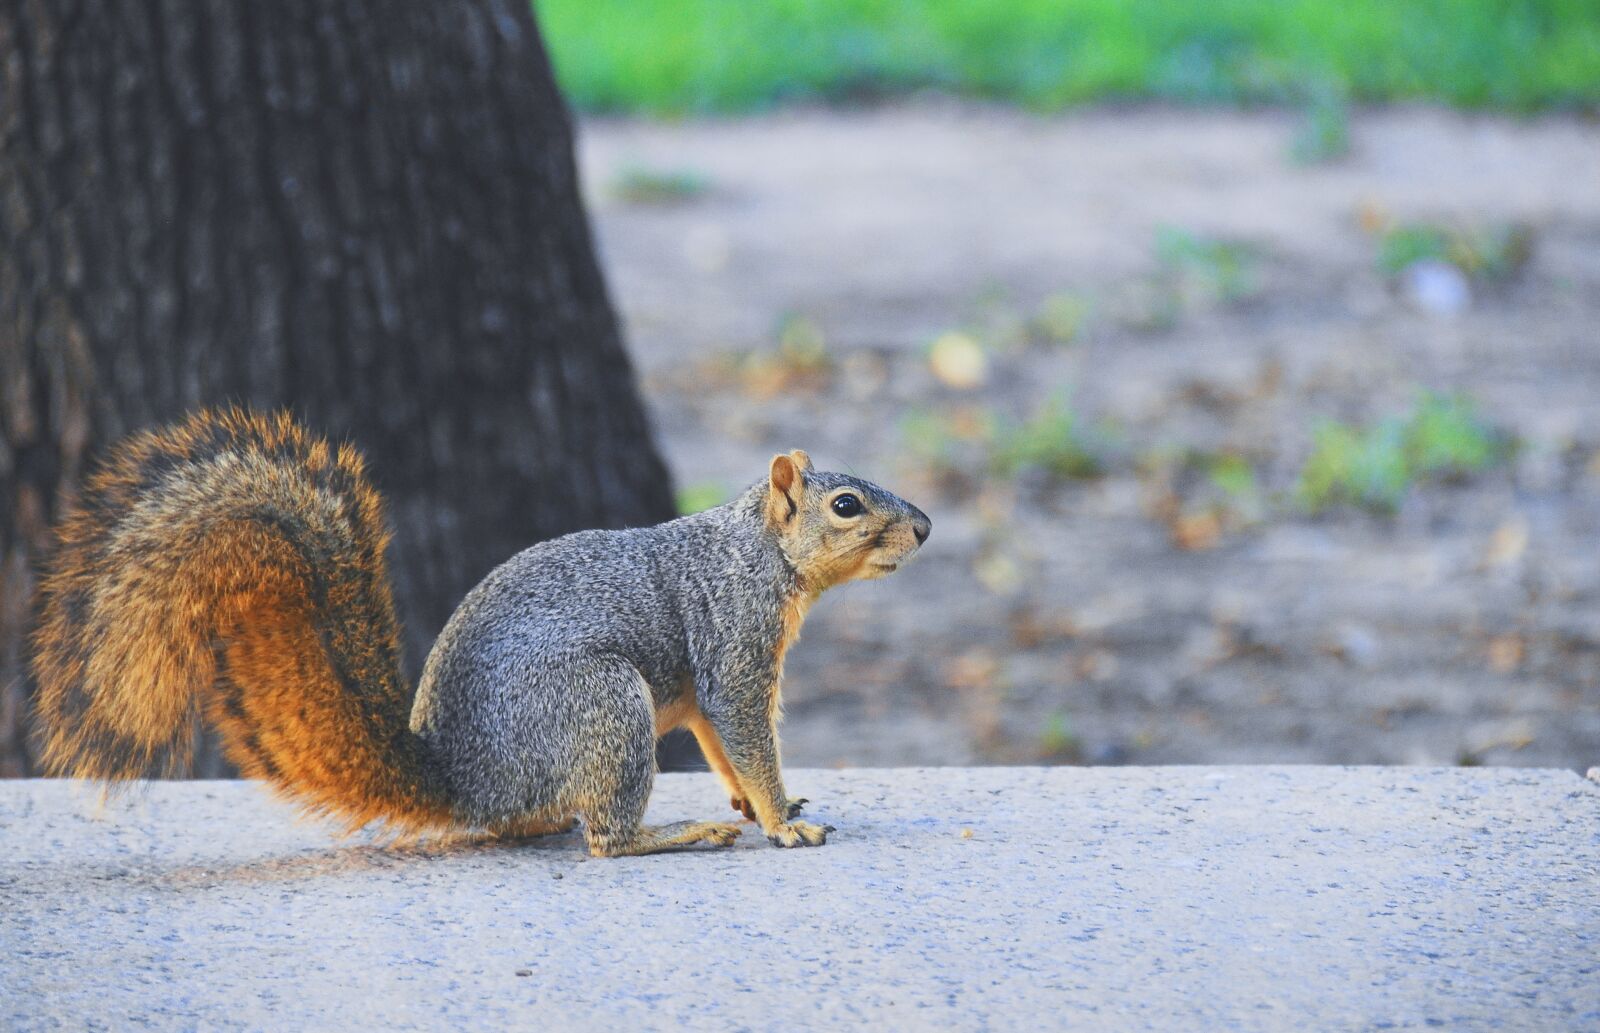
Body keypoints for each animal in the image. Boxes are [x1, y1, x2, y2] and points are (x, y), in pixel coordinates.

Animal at [30, 408, 931, 857]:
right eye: (846, 505)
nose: (923, 528)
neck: (758, 550)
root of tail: (465, 780)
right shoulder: (735, 648)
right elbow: (742, 727)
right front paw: (779, 820)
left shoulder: (717, 679)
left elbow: (720, 743)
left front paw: (753, 799)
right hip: (602, 701)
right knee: (605, 840)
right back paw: (676, 833)